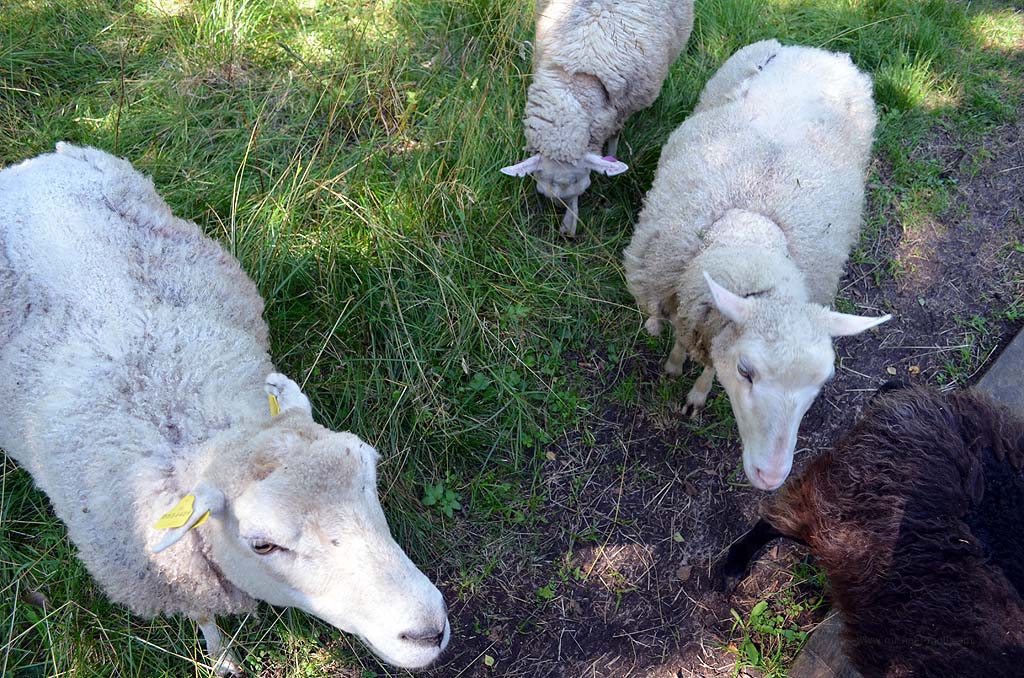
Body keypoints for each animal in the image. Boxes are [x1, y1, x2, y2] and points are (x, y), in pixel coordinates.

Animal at [0, 144, 450, 675]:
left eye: (371, 478)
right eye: (263, 545)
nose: (427, 631)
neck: (196, 431)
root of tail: (28, 167)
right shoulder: (170, 571)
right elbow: (204, 616)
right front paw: (221, 658)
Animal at [622, 40, 890, 490]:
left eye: (822, 382)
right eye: (746, 371)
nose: (771, 476)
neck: (751, 231)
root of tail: (818, 51)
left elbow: (708, 367)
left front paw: (696, 394)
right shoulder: (681, 290)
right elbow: (679, 337)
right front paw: (674, 366)